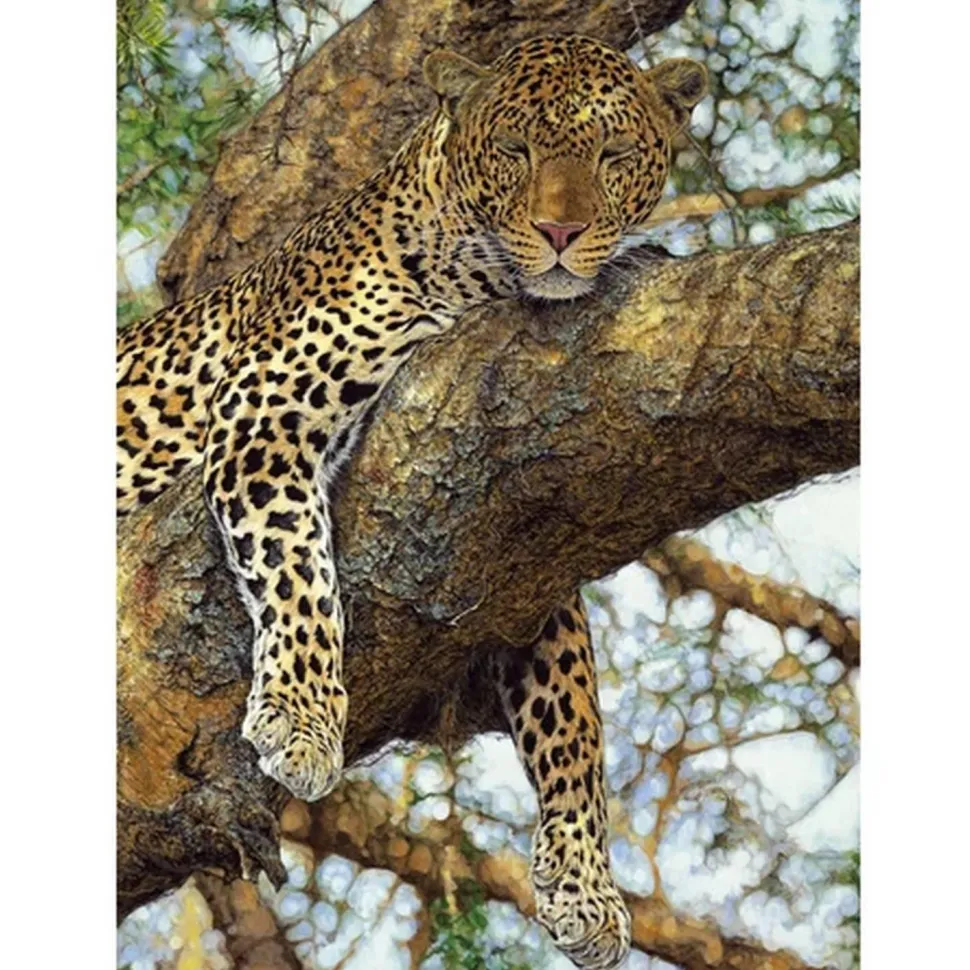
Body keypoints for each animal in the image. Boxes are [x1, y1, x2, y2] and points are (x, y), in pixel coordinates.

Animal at [117, 33, 706, 969]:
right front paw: (301, 720)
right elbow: (299, 572)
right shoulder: (262, 411)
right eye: (516, 151)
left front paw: (584, 883)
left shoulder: (525, 553)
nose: (563, 233)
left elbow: (576, 709)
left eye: (613, 156)